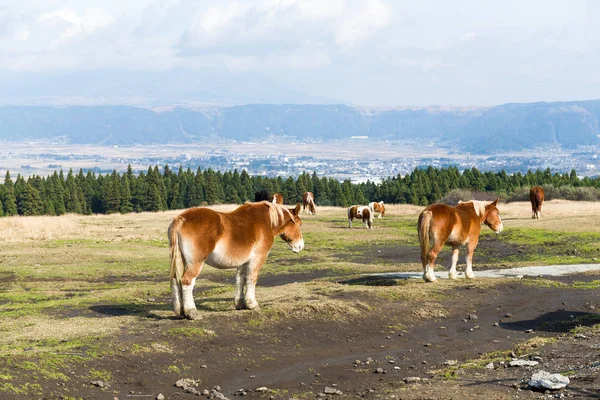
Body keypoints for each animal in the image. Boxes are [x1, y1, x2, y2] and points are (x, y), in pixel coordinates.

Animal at [168, 202, 304, 320]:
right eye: (299, 224)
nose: (300, 246)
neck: (267, 220)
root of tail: (180, 218)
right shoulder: (257, 258)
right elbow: (251, 278)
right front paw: (252, 304)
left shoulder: (243, 262)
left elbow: (240, 279)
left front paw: (240, 304)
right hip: (195, 263)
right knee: (187, 281)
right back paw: (192, 312)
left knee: (175, 281)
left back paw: (180, 311)